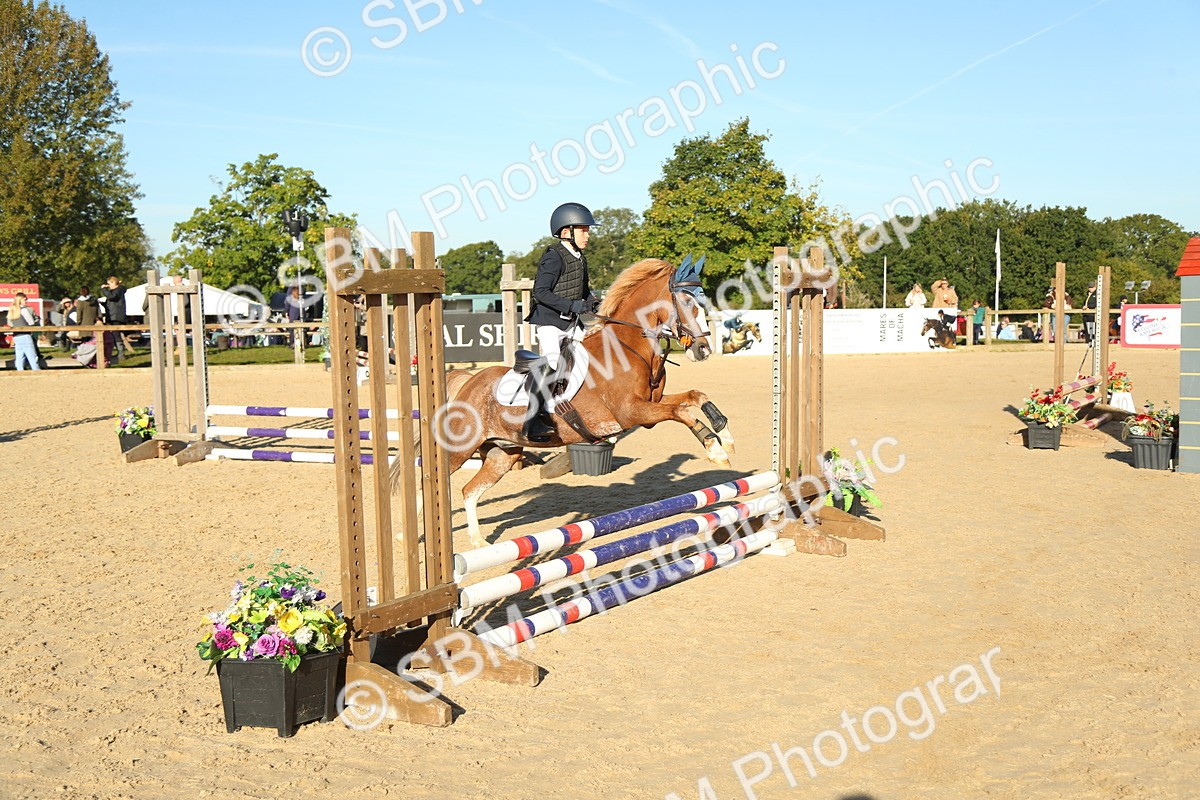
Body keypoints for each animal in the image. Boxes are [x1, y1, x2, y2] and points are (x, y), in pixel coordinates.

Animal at [416, 257, 734, 548]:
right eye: (686, 301)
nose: (703, 349)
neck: (630, 347)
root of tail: (469, 382)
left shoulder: (651, 403)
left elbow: (695, 397)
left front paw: (726, 436)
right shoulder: (634, 413)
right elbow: (682, 411)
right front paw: (716, 450)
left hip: (502, 454)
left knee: (470, 490)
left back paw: (478, 542)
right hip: (459, 450)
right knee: (428, 482)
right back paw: (420, 535)